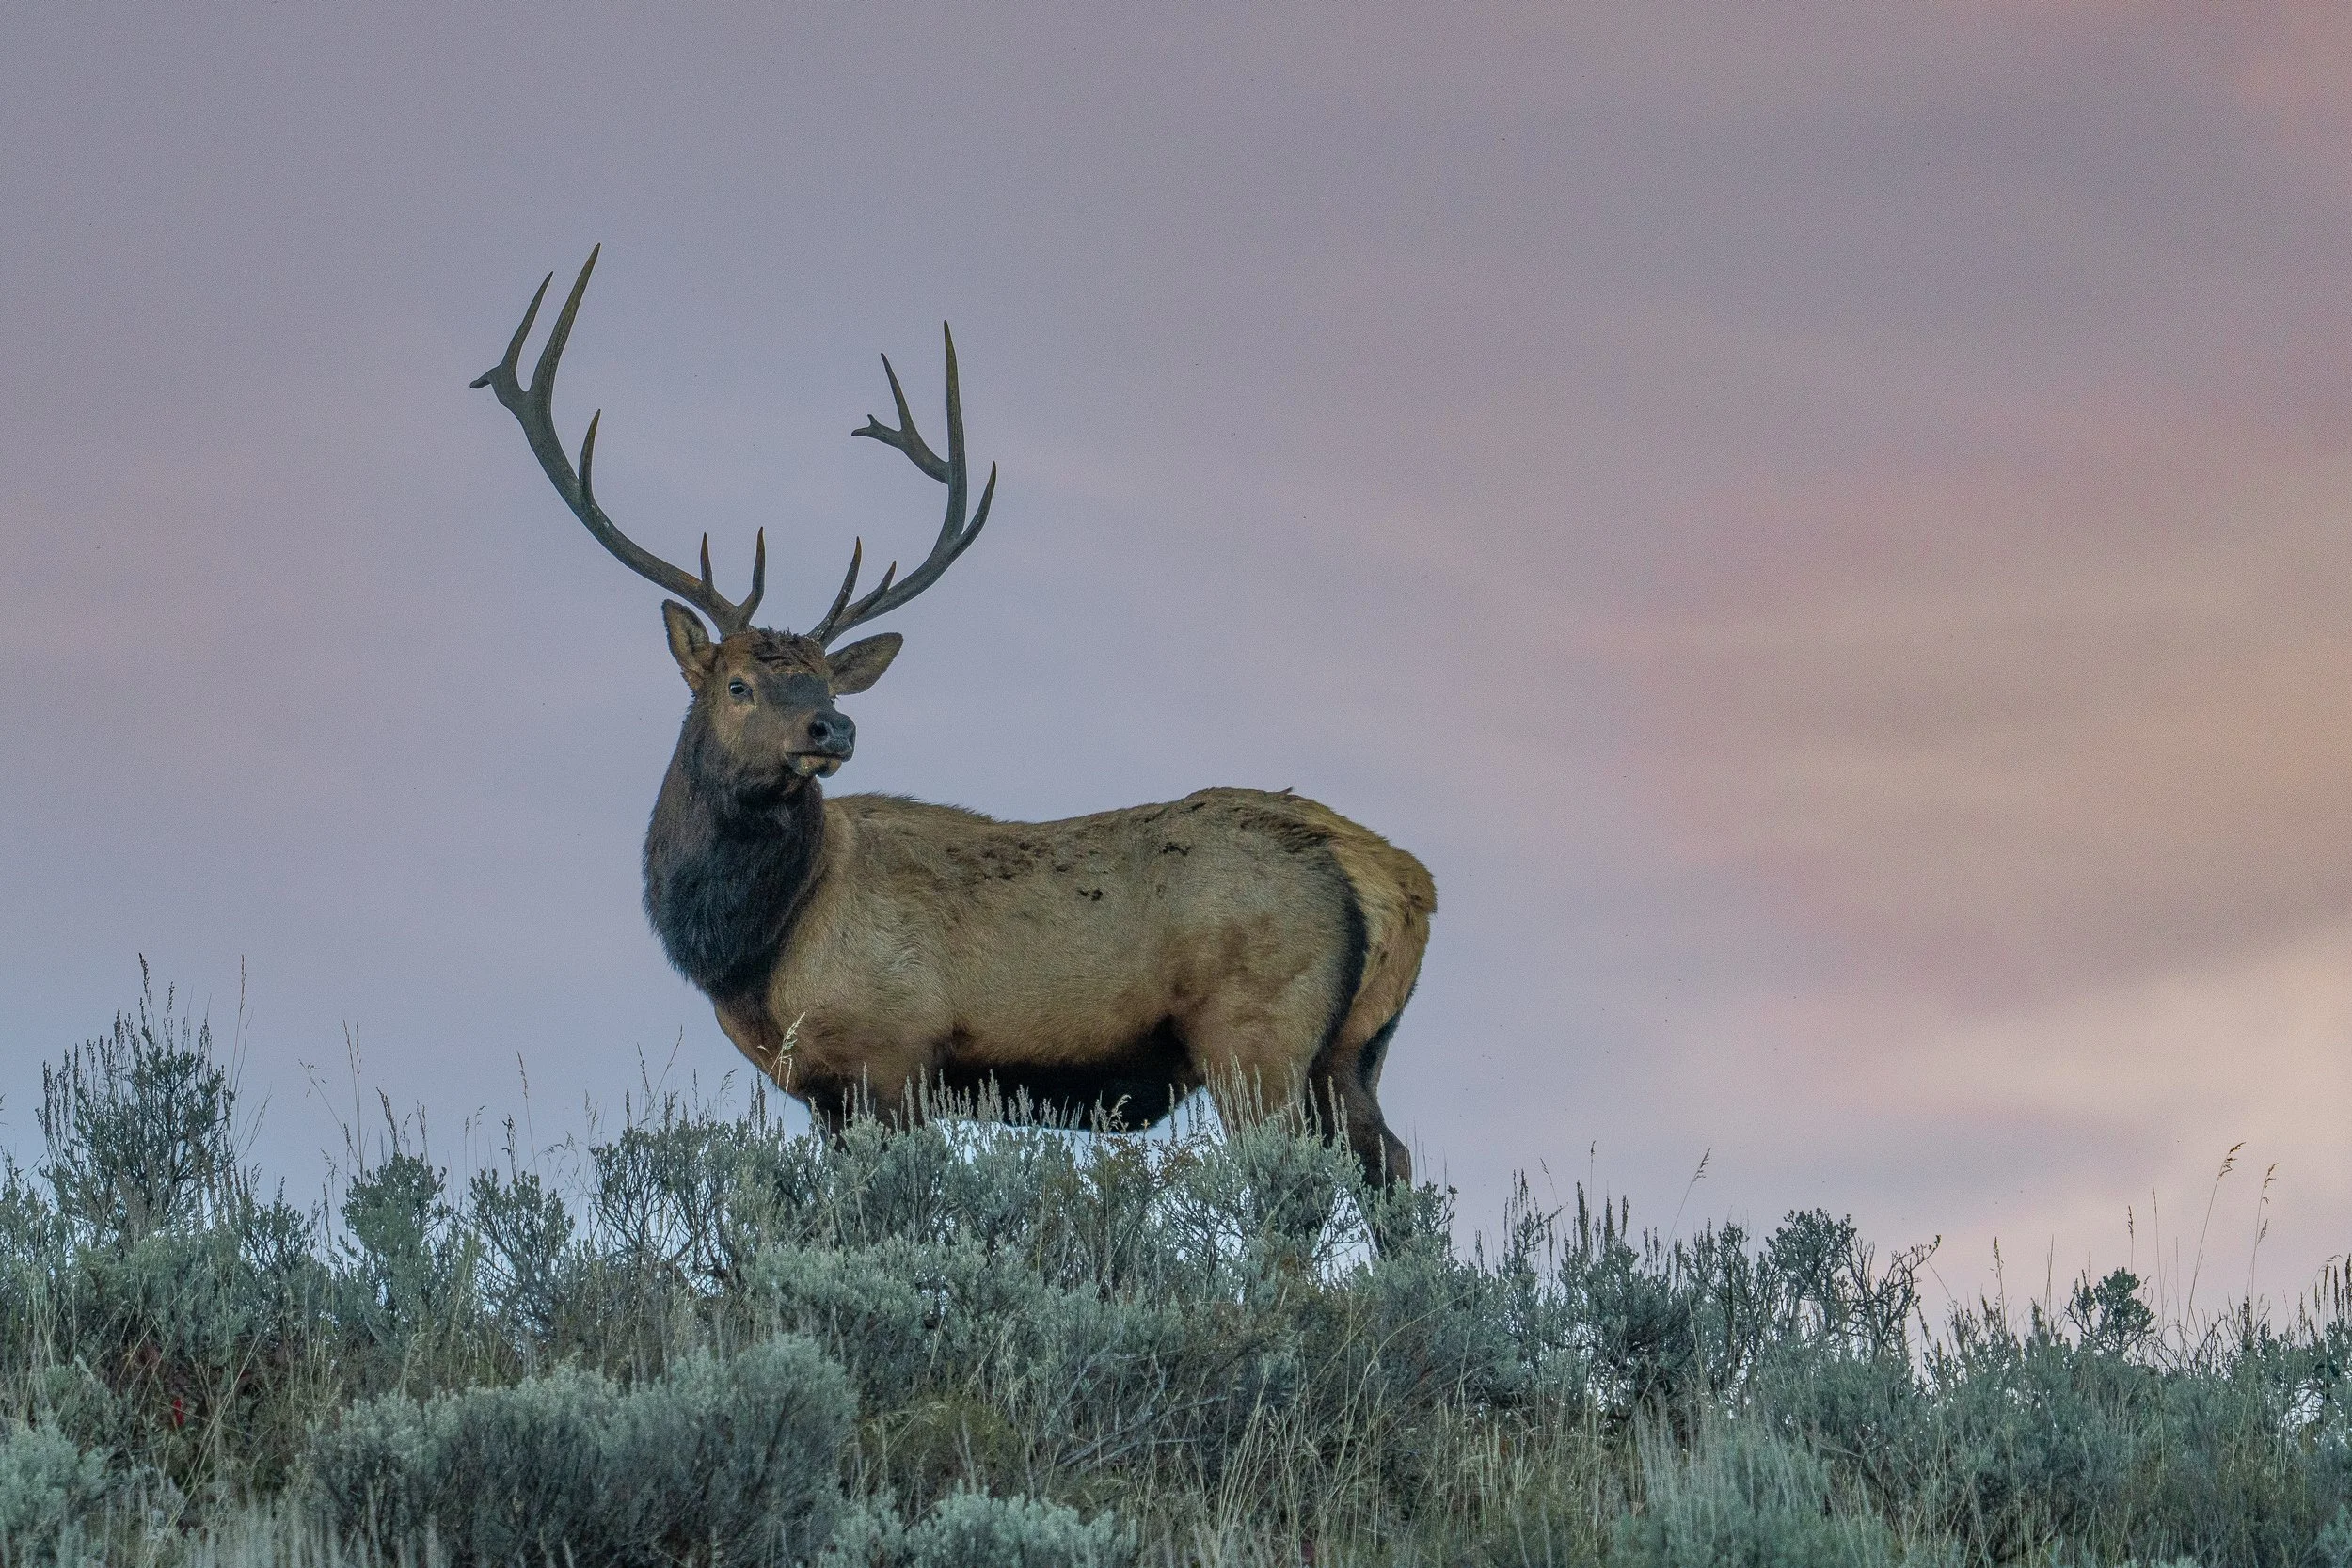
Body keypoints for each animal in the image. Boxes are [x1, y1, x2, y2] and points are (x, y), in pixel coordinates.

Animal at [473, 249, 1435, 1188]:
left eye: (828, 686)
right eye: (739, 684)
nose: (833, 731)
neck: (758, 947)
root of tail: (1395, 878)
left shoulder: (891, 1053)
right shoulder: (828, 1092)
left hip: (1256, 1034)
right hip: (1353, 1051)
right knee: (1393, 1164)